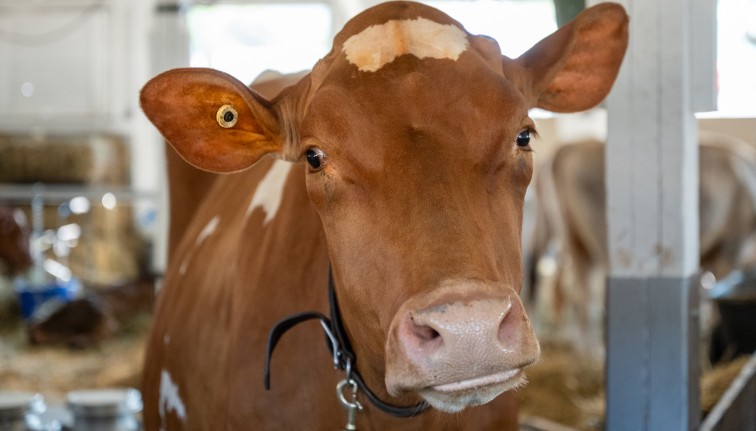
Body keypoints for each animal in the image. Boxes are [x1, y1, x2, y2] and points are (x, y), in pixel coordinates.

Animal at [529, 132, 756, 357]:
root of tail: (567, 147)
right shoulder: (732, 246)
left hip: (574, 238)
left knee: (572, 289)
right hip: (590, 241)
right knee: (581, 290)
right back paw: (591, 350)